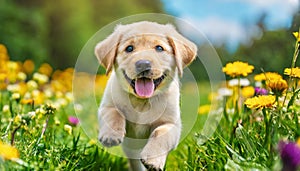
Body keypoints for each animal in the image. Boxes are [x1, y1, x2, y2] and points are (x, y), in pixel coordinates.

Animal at [94, 20, 197, 170]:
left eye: (159, 48)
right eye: (129, 48)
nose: (143, 64)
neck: (142, 101)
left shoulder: (171, 124)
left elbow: (160, 134)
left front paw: (153, 160)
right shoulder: (107, 106)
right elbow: (114, 113)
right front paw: (111, 135)